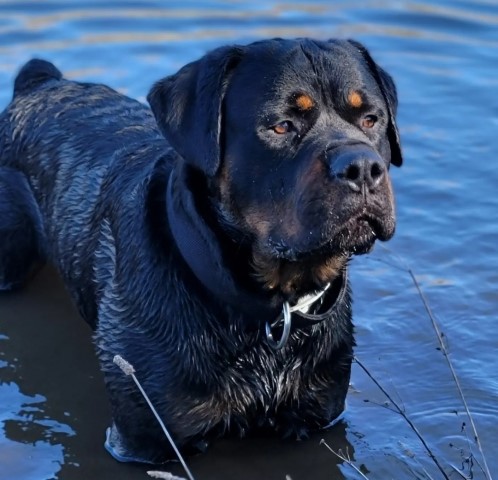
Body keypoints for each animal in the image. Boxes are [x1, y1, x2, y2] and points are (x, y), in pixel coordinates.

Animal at [0, 38, 400, 464]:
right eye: (281, 125)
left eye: (371, 119)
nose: (361, 166)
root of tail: (40, 82)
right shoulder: (145, 437)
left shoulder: (319, 412)